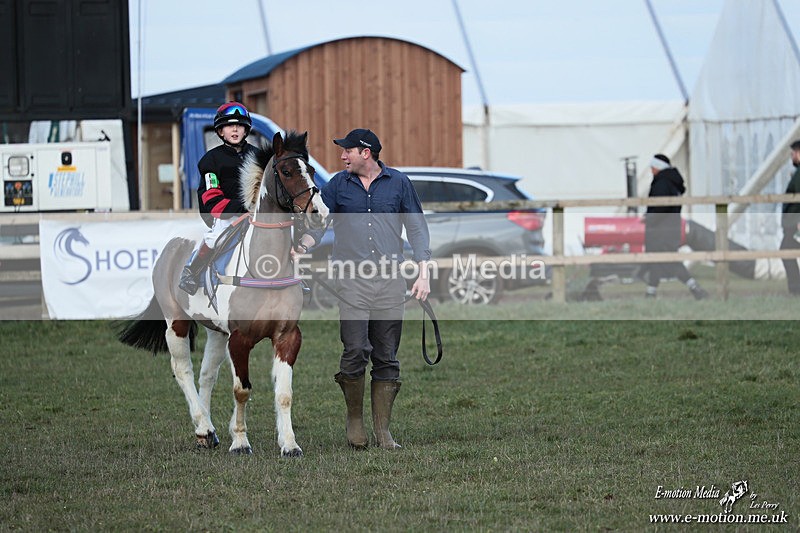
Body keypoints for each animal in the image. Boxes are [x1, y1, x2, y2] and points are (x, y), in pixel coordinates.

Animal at [118, 130, 328, 456]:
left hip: (216, 332)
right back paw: (203, 426)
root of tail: (171, 247)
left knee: (206, 375)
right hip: (176, 324)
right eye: (286, 171)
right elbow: (241, 390)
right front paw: (240, 441)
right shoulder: (240, 339)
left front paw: (289, 444)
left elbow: (284, 393)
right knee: (183, 370)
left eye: (312, 171)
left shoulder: (287, 336)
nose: (319, 214)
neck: (266, 267)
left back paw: (208, 432)